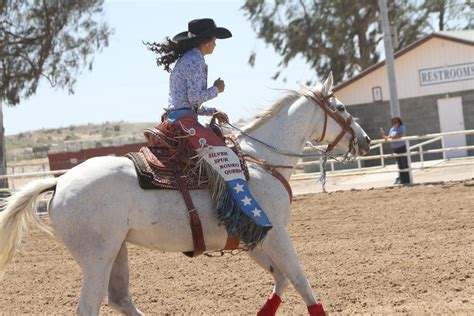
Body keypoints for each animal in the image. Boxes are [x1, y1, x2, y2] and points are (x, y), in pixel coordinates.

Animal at [0, 72, 370, 316]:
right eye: (340, 107)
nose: (365, 140)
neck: (262, 161)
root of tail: (60, 182)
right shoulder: (275, 233)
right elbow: (301, 282)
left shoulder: (255, 238)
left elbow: (281, 281)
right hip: (97, 257)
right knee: (90, 307)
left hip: (116, 251)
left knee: (120, 299)